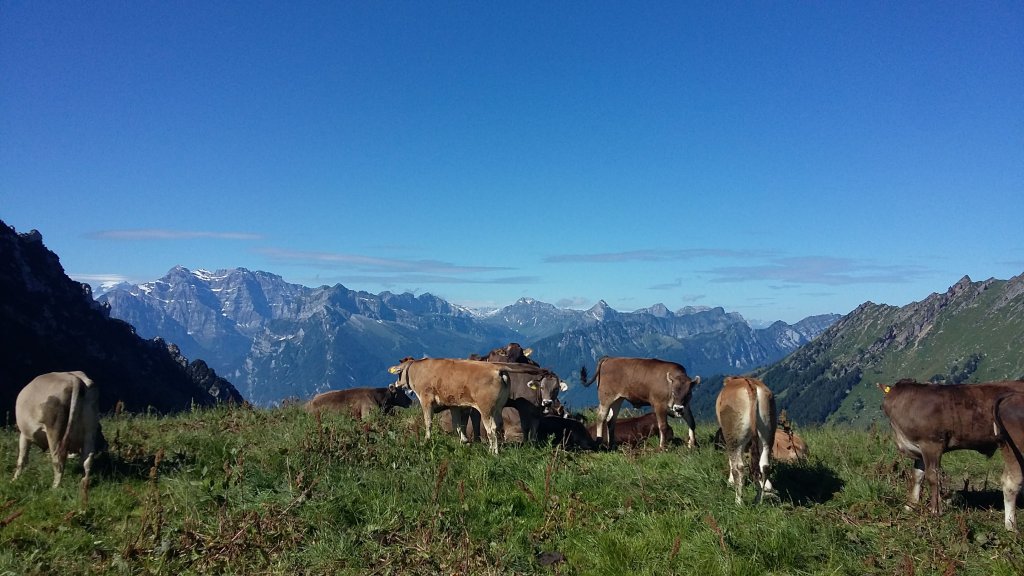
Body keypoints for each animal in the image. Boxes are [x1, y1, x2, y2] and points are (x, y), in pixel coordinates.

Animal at [715, 376, 777, 505]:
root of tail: (749, 383)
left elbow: (731, 461)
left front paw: (730, 482)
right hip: (767, 432)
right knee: (764, 465)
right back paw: (759, 499)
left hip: (734, 435)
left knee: (738, 467)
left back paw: (738, 501)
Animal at [879, 378, 1024, 531]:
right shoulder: (919, 449)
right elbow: (917, 476)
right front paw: (910, 505)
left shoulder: (931, 444)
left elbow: (932, 476)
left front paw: (935, 510)